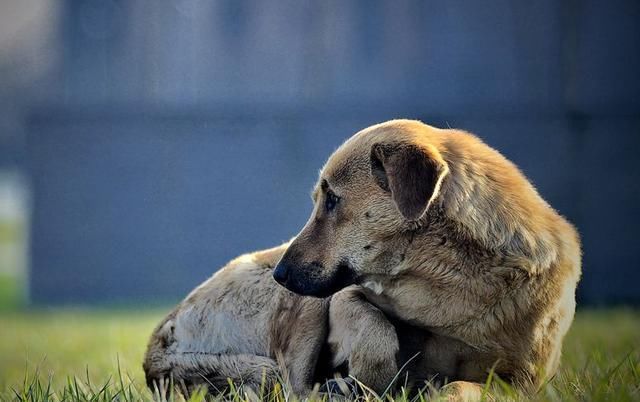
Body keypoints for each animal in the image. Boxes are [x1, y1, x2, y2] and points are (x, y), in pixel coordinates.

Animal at [272, 118, 584, 396]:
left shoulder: (522, 382)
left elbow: (458, 387)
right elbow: (370, 318)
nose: (279, 274)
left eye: (333, 199)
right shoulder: (344, 295)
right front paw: (372, 377)